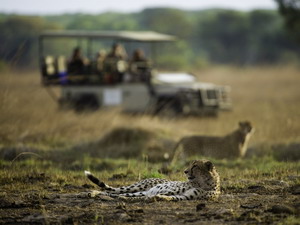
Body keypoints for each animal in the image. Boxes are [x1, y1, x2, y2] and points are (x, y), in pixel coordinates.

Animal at [84, 159, 220, 201]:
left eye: (195, 166)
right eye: (191, 164)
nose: (185, 171)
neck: (203, 183)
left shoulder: (186, 196)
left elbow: (173, 197)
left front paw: (159, 198)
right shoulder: (172, 190)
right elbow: (167, 193)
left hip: (139, 190)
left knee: (114, 194)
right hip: (137, 187)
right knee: (112, 191)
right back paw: (90, 193)